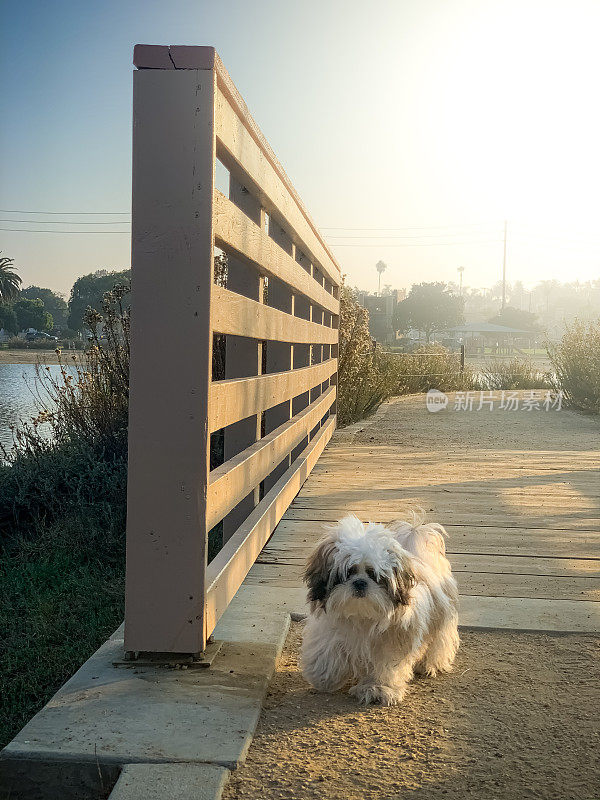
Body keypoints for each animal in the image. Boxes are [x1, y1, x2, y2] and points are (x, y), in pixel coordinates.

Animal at [300, 512, 460, 708]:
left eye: (374, 575)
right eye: (348, 572)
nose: (360, 583)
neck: (361, 616)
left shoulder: (391, 642)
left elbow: (384, 665)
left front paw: (377, 688)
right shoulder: (330, 630)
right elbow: (327, 650)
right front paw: (324, 677)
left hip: (442, 622)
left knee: (438, 642)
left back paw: (428, 665)